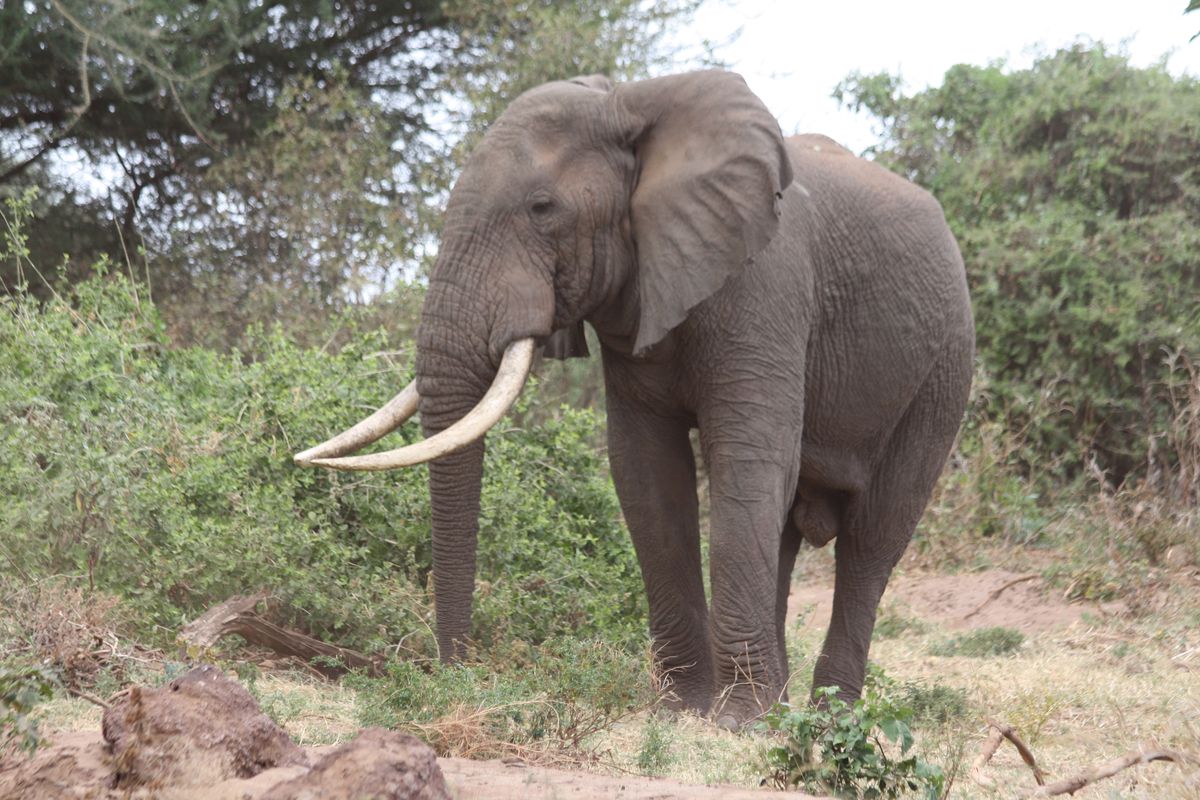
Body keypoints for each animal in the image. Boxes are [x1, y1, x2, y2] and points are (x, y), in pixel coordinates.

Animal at [295, 69, 974, 729]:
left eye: (542, 208)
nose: (456, 676)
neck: (631, 104)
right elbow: (646, 475)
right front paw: (683, 712)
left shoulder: (766, 286)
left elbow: (747, 463)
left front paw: (736, 725)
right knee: (785, 533)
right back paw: (784, 711)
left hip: (944, 371)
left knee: (872, 539)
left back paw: (829, 722)